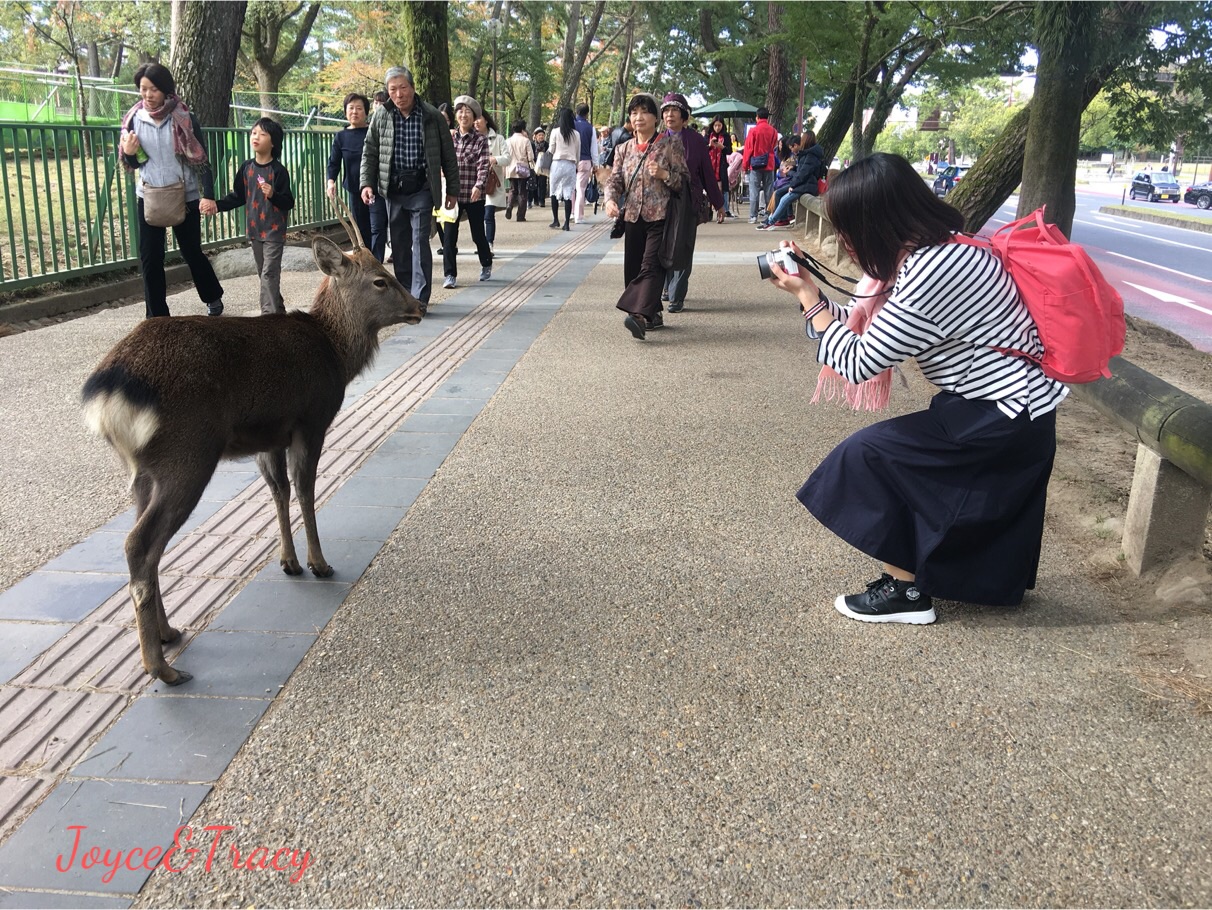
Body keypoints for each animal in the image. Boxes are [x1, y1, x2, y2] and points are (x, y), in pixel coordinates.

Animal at [80, 198, 421, 683]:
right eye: (380, 280)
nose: (418, 305)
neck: (334, 352)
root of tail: (107, 389)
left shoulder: (269, 436)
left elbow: (278, 491)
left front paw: (289, 562)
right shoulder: (311, 418)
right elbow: (305, 488)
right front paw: (319, 563)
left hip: (142, 469)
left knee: (144, 543)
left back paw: (168, 633)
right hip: (187, 452)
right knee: (138, 545)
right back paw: (161, 667)